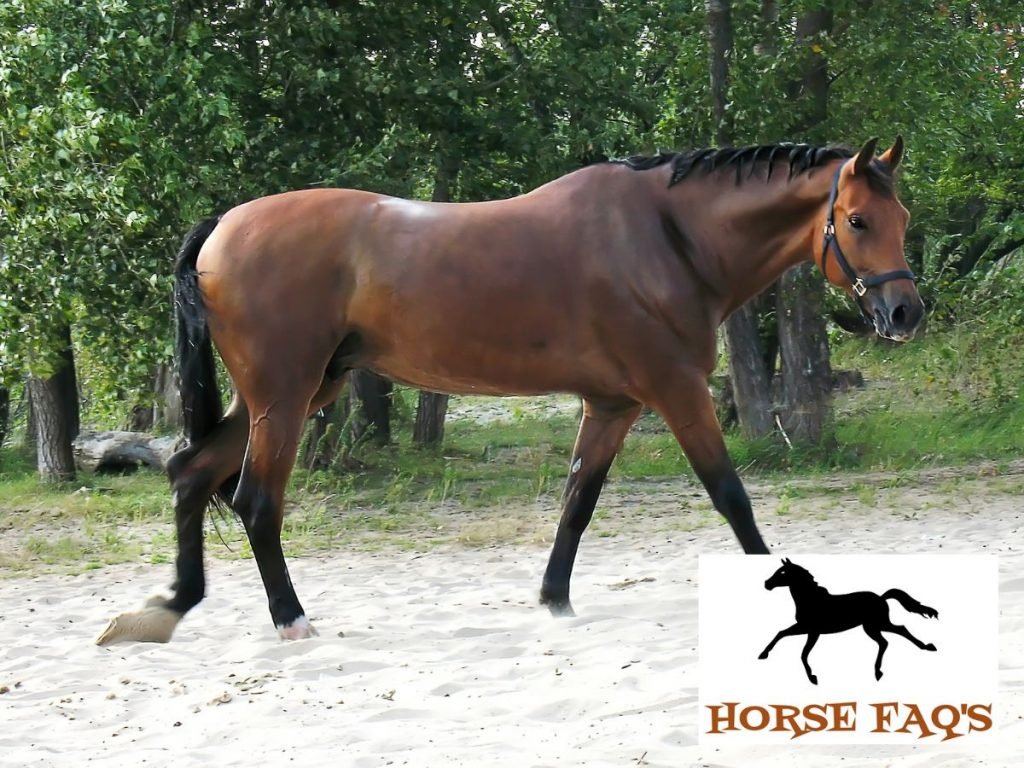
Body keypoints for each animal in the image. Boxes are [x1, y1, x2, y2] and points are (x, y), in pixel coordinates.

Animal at [96, 137, 923, 645]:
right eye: (856, 220)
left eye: (902, 216)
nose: (906, 313)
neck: (666, 237)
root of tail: (222, 227)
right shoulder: (677, 391)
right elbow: (732, 496)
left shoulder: (614, 405)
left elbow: (578, 500)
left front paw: (554, 600)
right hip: (286, 397)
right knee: (255, 500)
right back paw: (288, 618)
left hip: (299, 393)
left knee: (190, 473)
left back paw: (168, 606)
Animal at [758, 558, 938, 684]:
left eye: (782, 573)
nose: (766, 584)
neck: (811, 599)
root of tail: (881, 597)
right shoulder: (804, 628)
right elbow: (781, 633)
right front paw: (763, 654)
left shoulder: (813, 631)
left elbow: (802, 654)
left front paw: (813, 677)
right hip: (873, 626)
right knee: (892, 636)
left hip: (875, 625)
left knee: (895, 634)